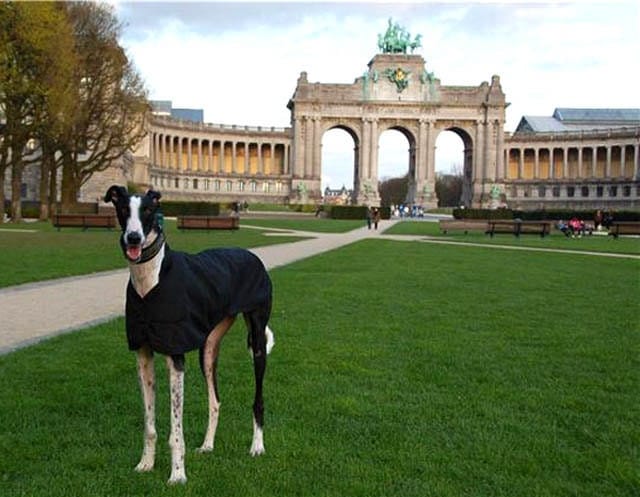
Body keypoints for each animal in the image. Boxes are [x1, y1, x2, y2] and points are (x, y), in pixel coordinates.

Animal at [104, 184, 274, 482]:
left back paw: (257, 446)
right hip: (208, 348)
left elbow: (176, 430)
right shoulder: (143, 355)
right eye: (123, 209)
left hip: (257, 341)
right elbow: (149, 424)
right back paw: (207, 445)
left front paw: (178, 475)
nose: (133, 238)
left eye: (148, 210)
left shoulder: (176, 357)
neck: (150, 278)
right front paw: (145, 464)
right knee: (215, 400)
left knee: (258, 399)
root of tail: (251, 254)